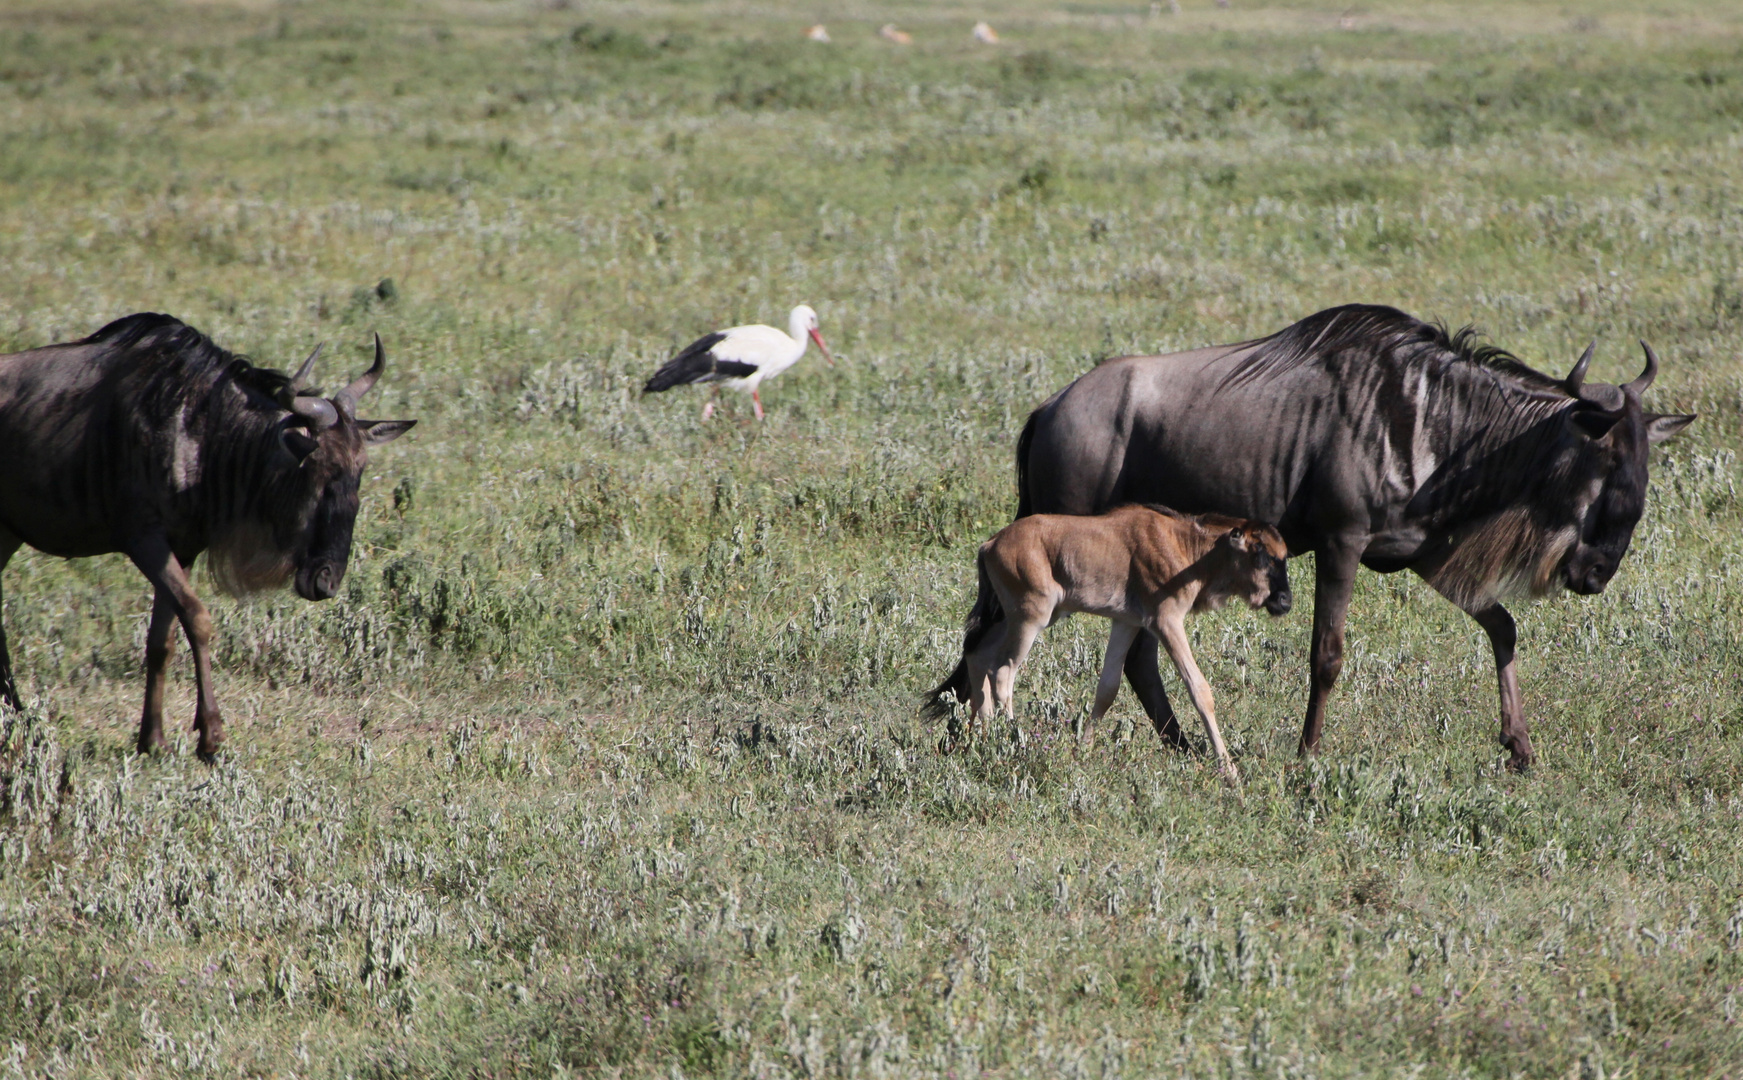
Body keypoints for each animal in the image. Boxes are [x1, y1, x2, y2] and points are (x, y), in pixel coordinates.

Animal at [934, 501, 1289, 780]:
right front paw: (1230, 772)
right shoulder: (1166, 621)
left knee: (978, 656)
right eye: (1263, 555)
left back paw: (980, 738)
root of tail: (990, 544)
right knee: (1004, 671)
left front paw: (1083, 750)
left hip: (1013, 616)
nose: (1285, 601)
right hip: (1031, 617)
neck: (1187, 547)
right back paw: (1012, 742)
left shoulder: (1126, 622)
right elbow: (1199, 690)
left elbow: (1108, 688)